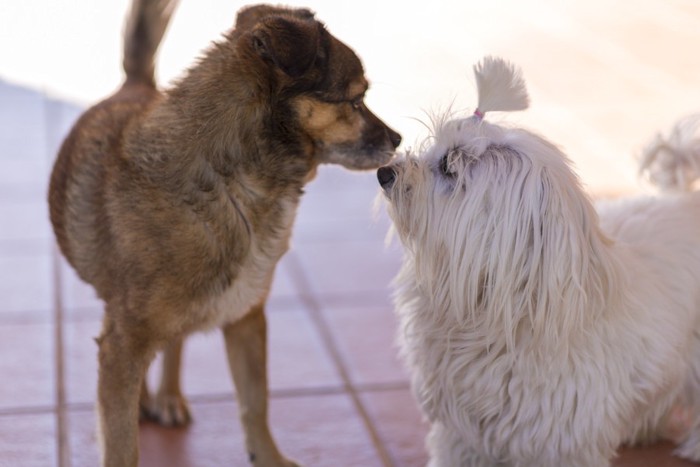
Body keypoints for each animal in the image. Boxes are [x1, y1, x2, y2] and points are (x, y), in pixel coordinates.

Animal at [47, 0, 400, 467]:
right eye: (356, 100)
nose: (398, 139)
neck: (233, 186)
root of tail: (135, 86)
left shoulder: (246, 318)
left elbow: (255, 404)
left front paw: (268, 457)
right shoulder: (122, 346)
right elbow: (122, 444)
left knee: (174, 344)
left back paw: (167, 396)